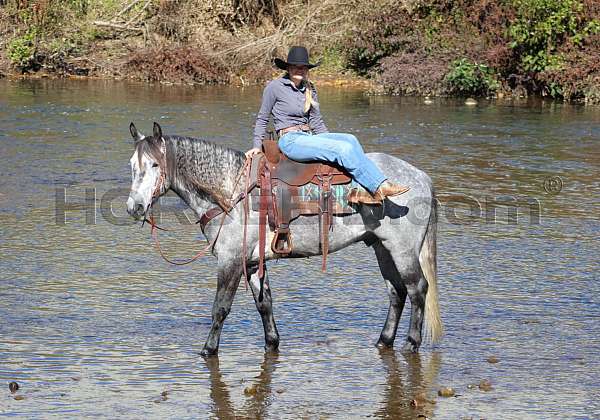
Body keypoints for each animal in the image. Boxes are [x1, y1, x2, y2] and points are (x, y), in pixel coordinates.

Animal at [126, 123, 442, 356]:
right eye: (132, 164)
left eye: (155, 165)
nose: (135, 207)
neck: (231, 192)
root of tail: (421, 178)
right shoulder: (253, 263)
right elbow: (264, 303)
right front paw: (272, 342)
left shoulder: (230, 261)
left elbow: (221, 308)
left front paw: (208, 350)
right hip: (381, 247)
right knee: (396, 292)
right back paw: (383, 340)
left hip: (402, 250)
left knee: (417, 289)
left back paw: (411, 343)